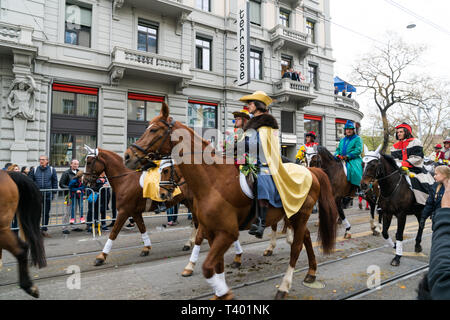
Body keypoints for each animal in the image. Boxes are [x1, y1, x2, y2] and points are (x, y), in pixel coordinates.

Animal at [123, 103, 338, 300]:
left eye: (154, 130)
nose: (127, 156)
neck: (213, 181)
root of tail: (311, 171)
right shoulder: (211, 231)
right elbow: (215, 265)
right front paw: (219, 291)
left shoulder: (227, 232)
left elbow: (208, 267)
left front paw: (223, 291)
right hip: (294, 215)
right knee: (306, 238)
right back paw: (311, 272)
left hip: (300, 215)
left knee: (296, 248)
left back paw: (284, 287)